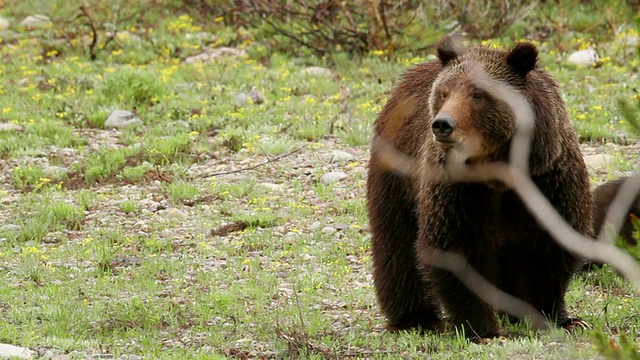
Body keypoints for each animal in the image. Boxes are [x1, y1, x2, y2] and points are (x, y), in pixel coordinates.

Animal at [368, 38, 592, 338]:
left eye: (477, 94)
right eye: (444, 92)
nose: (442, 124)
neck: (500, 173)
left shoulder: (549, 181)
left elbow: (547, 250)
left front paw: (557, 318)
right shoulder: (459, 192)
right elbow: (456, 249)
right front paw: (481, 328)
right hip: (397, 172)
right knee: (397, 244)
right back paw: (416, 317)